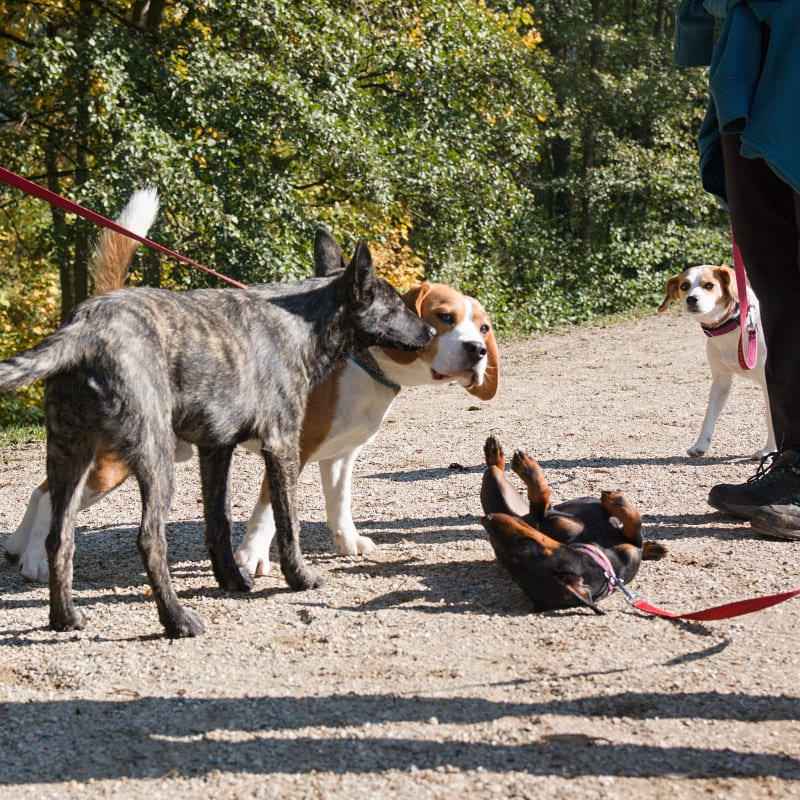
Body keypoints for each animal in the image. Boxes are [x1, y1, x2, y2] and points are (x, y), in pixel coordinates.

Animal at [0, 188, 432, 636]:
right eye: (397, 307)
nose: (430, 332)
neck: (301, 321)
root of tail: (85, 329)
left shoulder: (215, 450)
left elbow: (218, 521)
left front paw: (231, 579)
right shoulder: (282, 445)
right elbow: (287, 521)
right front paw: (299, 577)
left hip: (71, 452)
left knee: (59, 535)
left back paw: (63, 616)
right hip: (148, 460)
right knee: (148, 539)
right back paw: (176, 618)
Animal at [478, 438, 664, 612]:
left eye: (523, 546)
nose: (487, 519)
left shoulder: (632, 548)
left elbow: (635, 523)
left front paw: (614, 500)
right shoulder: (544, 516)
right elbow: (542, 495)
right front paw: (526, 465)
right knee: (494, 469)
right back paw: (495, 455)